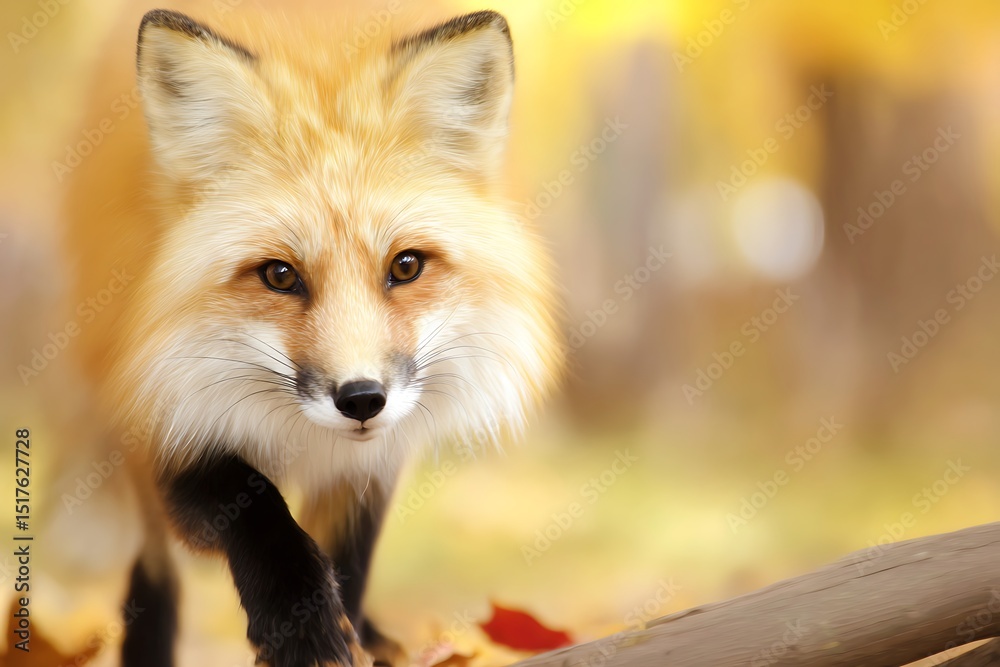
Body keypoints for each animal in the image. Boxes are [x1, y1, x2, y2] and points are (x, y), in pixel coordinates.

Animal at [59, 6, 561, 667]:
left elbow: (349, 556)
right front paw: (301, 630)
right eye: (279, 275)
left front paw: (348, 632)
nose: (362, 399)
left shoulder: (373, 461)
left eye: (406, 266)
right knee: (156, 571)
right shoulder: (166, 405)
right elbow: (256, 509)